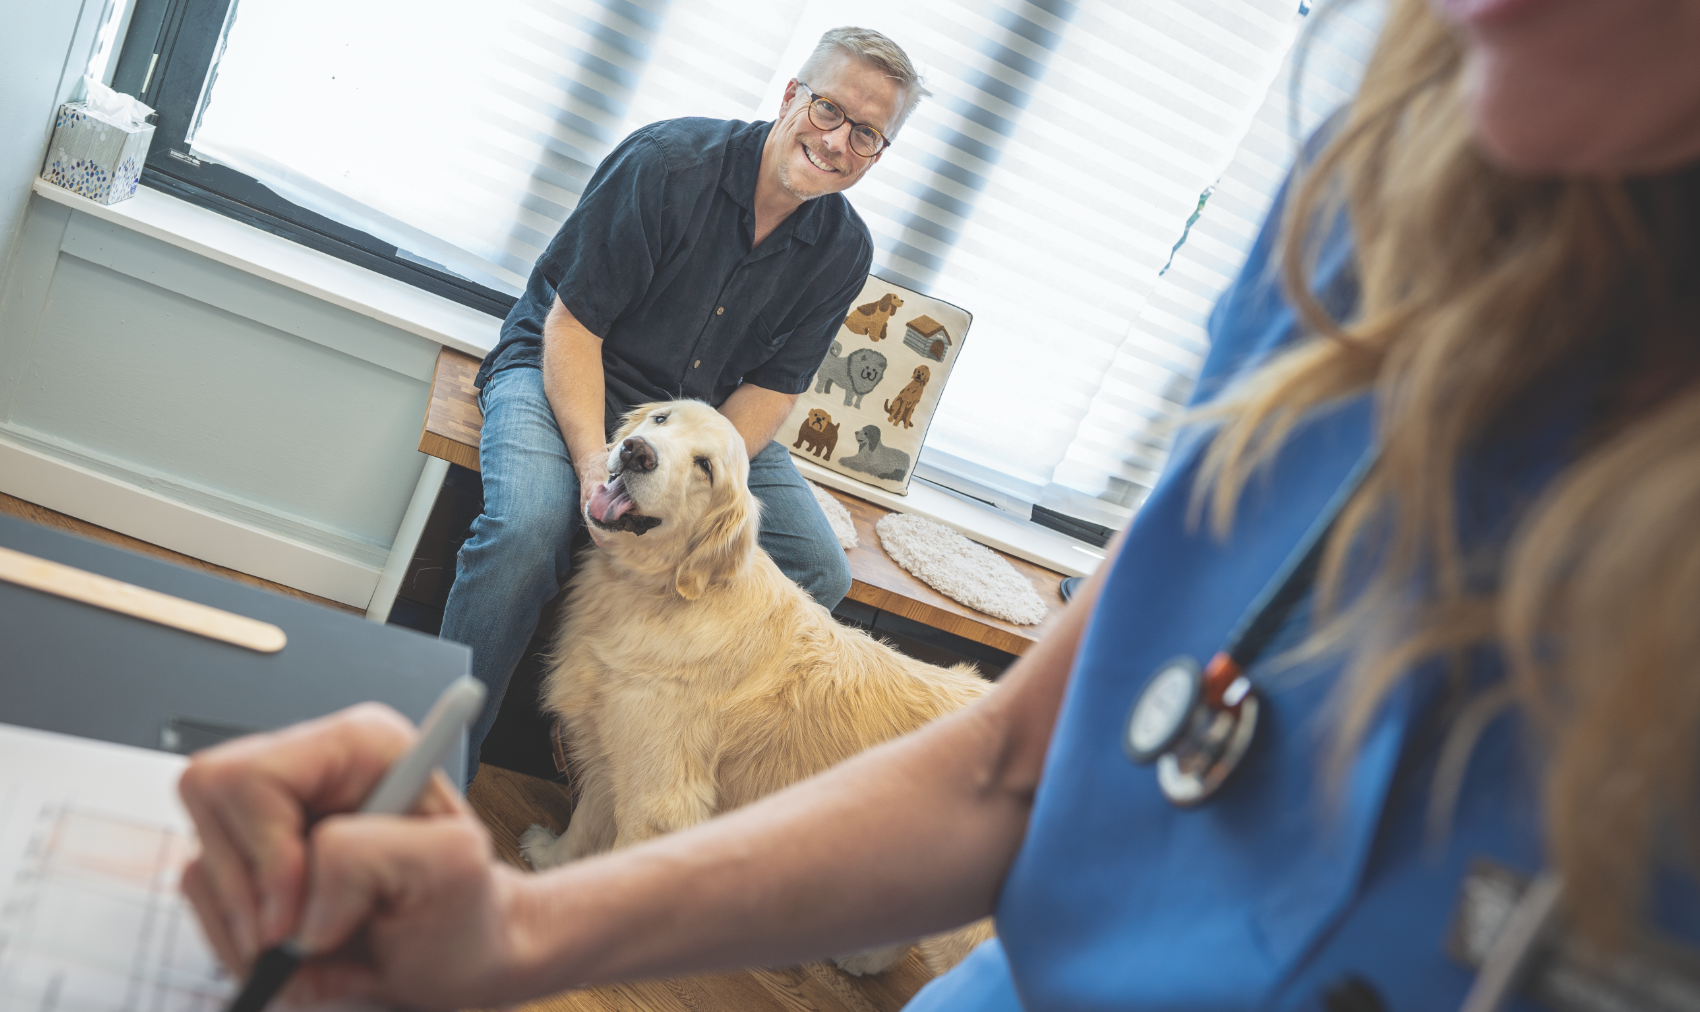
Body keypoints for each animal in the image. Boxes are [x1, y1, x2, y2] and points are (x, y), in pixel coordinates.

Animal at [520, 399, 992, 979]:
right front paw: (552, 861)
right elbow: (585, 824)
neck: (663, 594)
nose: (636, 452)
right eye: (661, 420)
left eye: (705, 467)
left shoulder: (661, 796)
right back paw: (863, 958)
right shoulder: (615, 749)